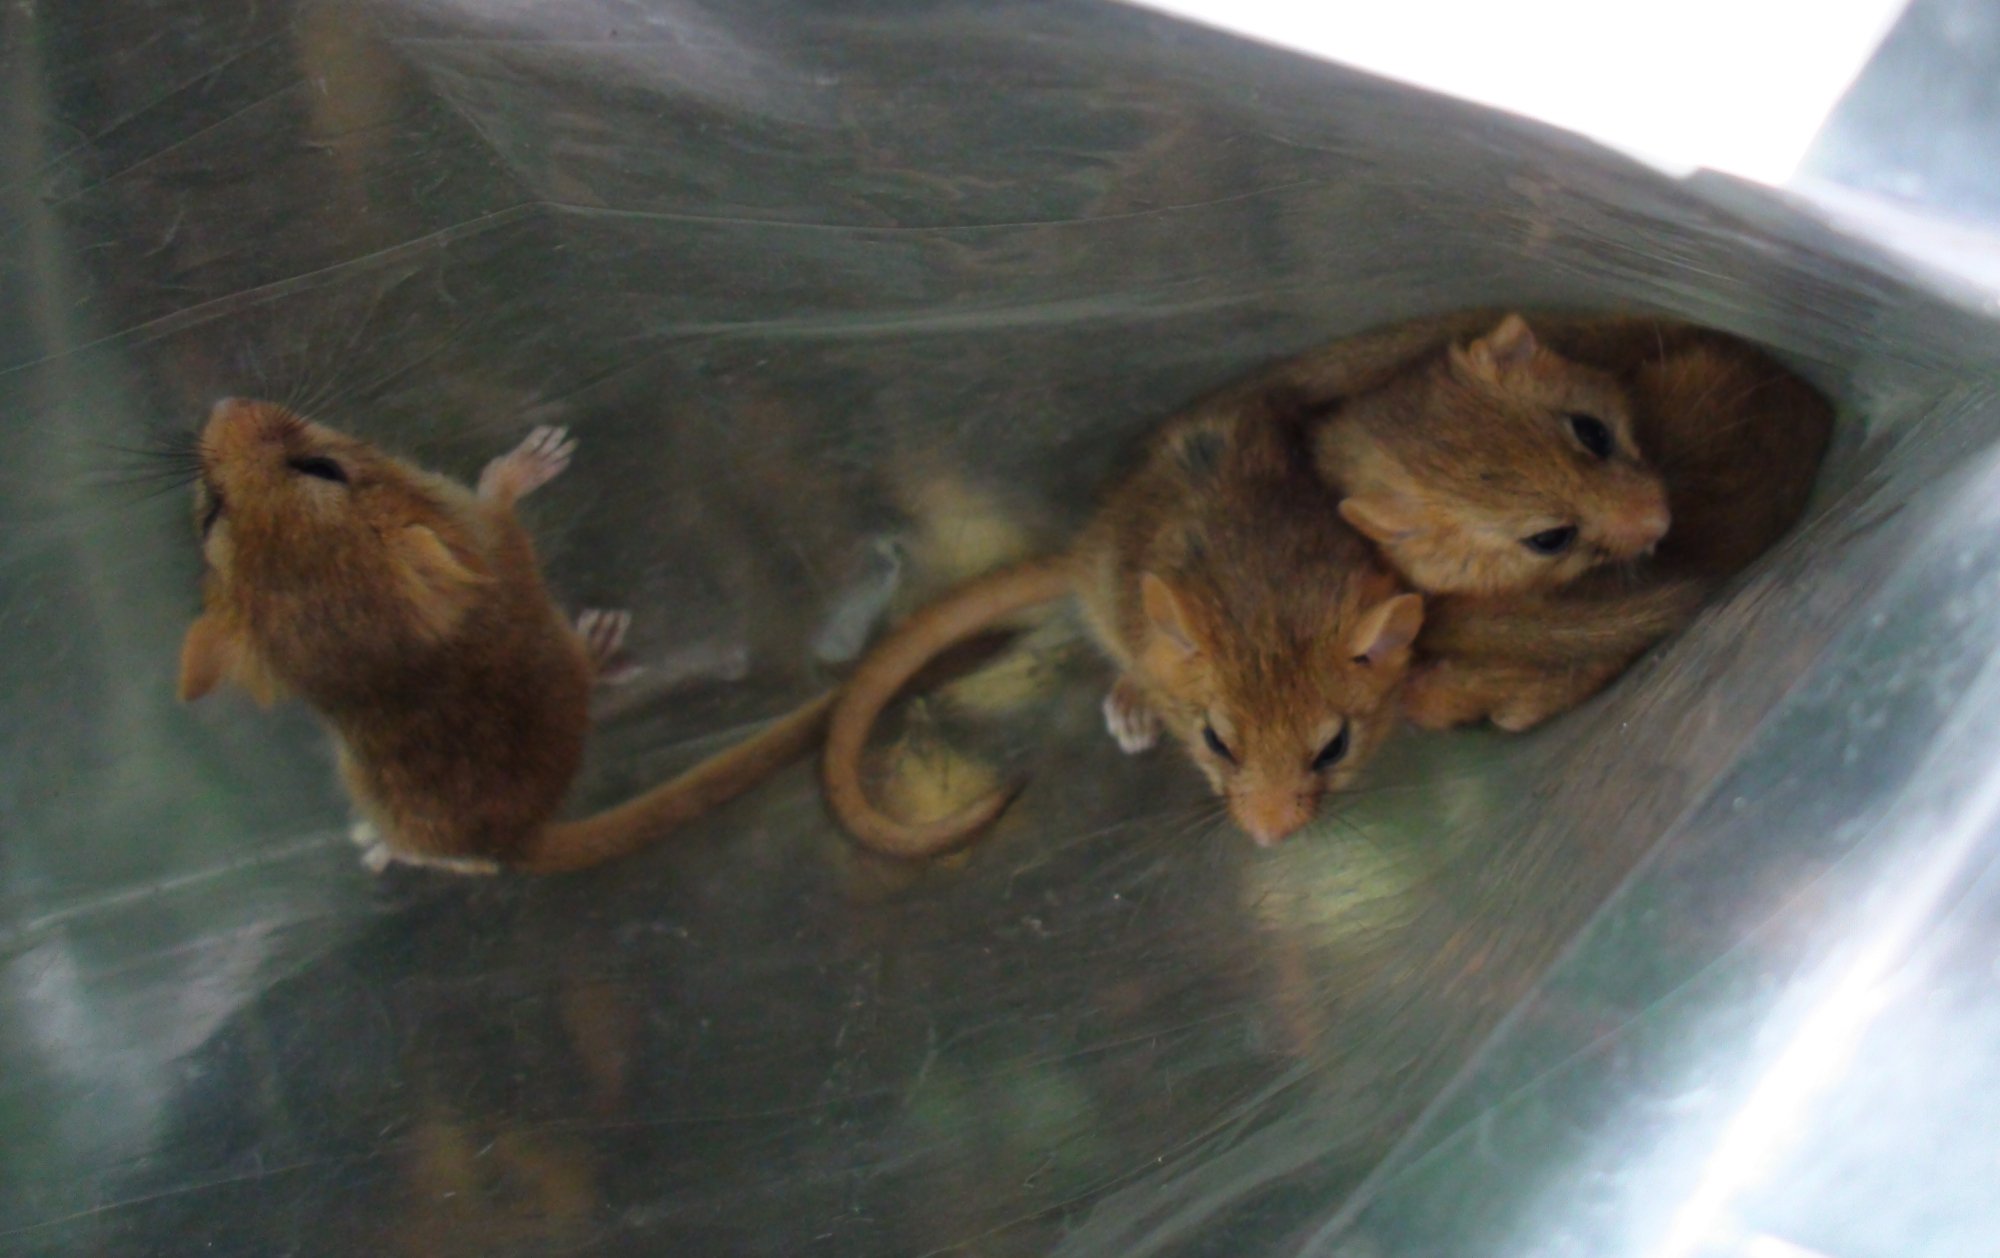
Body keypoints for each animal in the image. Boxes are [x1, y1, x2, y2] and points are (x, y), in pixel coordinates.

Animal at [178, 398, 831, 874]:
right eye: (321, 467)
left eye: (210, 516)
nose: (221, 403)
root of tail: (519, 841)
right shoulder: (486, 524)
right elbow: (499, 493)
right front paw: (543, 452)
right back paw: (600, 643)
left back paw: (377, 845)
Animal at [821, 395, 1423, 857]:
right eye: (1215, 741)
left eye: (1334, 749)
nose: (1266, 840)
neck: (1270, 600)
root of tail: (1078, 556)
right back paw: (1130, 713)